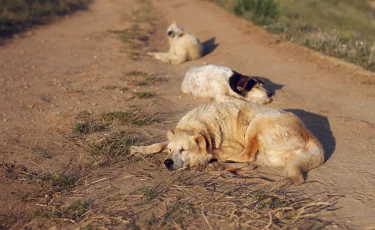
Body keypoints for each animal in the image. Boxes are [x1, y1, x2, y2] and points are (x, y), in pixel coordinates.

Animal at [131, 99, 324, 184]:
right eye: (171, 150)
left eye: (183, 150)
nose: (167, 162)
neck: (203, 126)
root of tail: (313, 139)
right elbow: (159, 144)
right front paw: (140, 149)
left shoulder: (233, 146)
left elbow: (211, 151)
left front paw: (204, 158)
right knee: (250, 163)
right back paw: (220, 166)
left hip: (258, 121)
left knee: (247, 156)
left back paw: (217, 163)